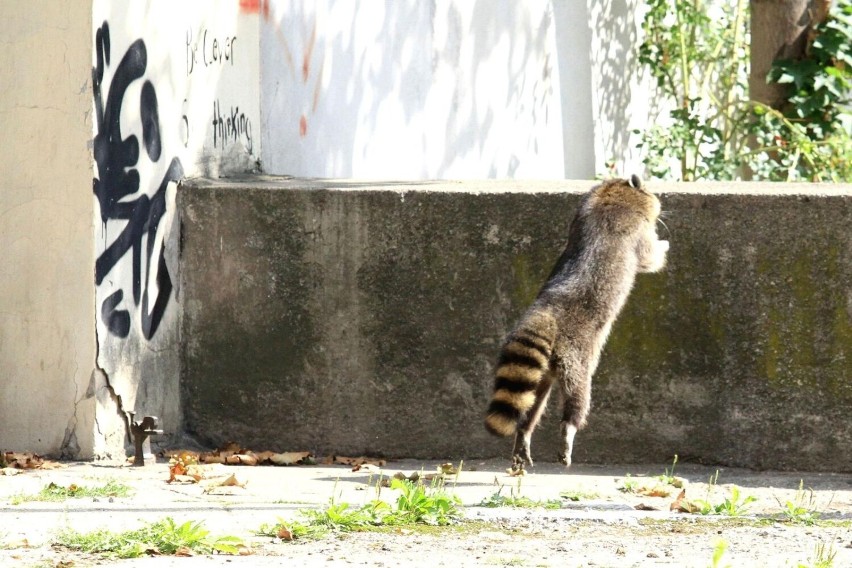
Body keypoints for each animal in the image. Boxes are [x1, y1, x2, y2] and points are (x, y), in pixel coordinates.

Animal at [482, 175, 668, 468]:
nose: (661, 209)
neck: (612, 192)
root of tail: (545, 313)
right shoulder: (636, 230)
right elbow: (650, 258)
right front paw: (664, 245)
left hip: (543, 367)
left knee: (532, 402)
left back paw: (524, 433)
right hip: (576, 354)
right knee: (578, 394)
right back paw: (569, 426)